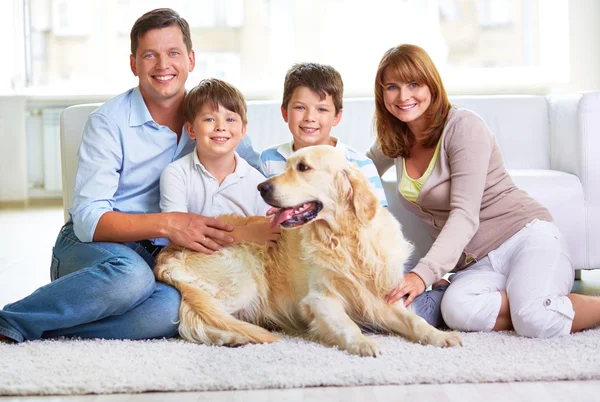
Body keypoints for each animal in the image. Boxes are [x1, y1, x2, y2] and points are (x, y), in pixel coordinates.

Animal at [152, 145, 462, 358]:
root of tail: (169, 251)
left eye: (302, 167)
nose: (262, 186)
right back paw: (231, 337)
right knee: (192, 321)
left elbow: (415, 320)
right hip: (244, 282)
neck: (343, 239)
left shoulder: (383, 298)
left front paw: (440, 336)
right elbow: (347, 324)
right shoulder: (319, 300)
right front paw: (363, 342)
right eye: (288, 164)